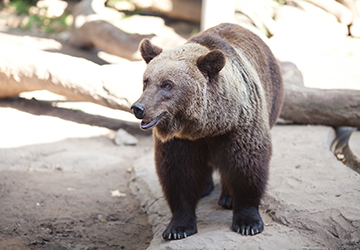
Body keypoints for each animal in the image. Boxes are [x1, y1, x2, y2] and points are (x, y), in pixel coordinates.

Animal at [131, 23, 284, 240]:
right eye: (146, 81)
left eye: (167, 84)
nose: (138, 107)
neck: (206, 126)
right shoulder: (179, 141)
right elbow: (177, 174)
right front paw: (178, 227)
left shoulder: (239, 126)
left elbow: (247, 166)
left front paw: (248, 222)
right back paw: (204, 187)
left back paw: (227, 197)